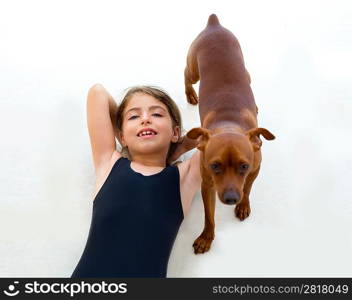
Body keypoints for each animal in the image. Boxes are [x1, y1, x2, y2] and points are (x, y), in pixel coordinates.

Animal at [183, 14, 276, 253]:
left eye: (243, 166)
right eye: (215, 166)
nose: (232, 198)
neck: (229, 124)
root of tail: (214, 25)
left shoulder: (255, 169)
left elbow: (248, 188)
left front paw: (243, 205)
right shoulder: (207, 185)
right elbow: (209, 215)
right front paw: (206, 237)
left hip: (245, 71)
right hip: (193, 69)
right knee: (186, 75)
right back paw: (189, 93)